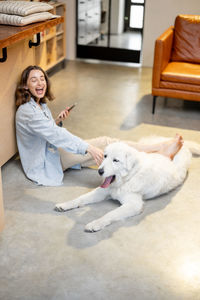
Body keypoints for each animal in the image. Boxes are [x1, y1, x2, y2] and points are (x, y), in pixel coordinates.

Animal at [54, 138, 200, 232]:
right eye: (105, 156)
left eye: (115, 160)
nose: (100, 171)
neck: (127, 179)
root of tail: (183, 145)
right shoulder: (102, 192)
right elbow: (81, 198)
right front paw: (65, 205)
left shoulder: (133, 204)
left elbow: (110, 214)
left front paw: (96, 223)